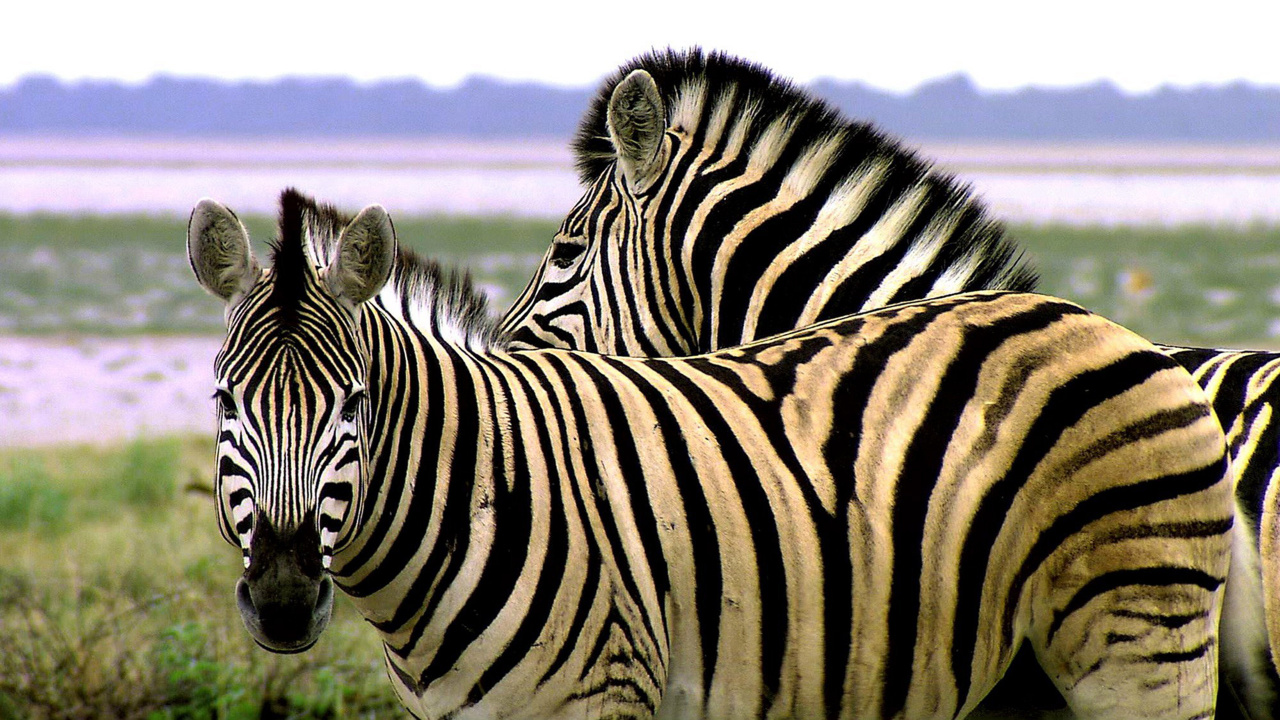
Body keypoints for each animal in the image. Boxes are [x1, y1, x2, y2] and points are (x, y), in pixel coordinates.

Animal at [190, 188, 1234, 720]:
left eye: (354, 407)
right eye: (223, 401)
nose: (282, 600)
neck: (480, 491)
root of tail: (1113, 329)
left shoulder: (600, 698)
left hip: (1143, 642)